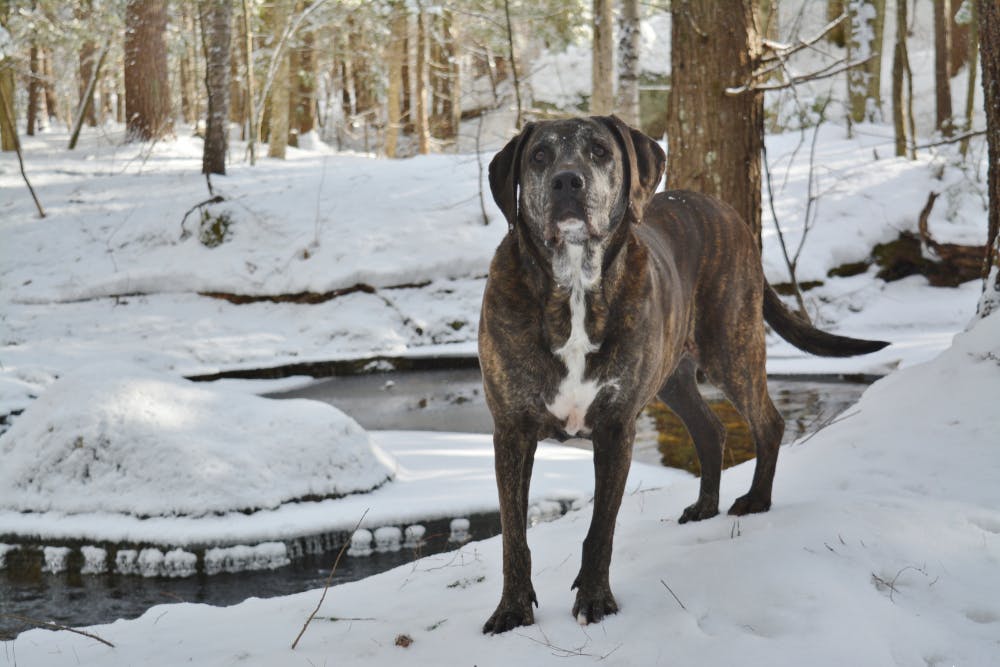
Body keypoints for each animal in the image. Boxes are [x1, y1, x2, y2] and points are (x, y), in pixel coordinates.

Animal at [478, 117, 892, 636]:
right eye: (538, 156)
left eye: (599, 152)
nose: (567, 182)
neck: (573, 286)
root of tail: (728, 211)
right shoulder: (512, 431)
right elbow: (514, 534)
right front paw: (512, 610)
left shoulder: (616, 428)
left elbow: (600, 528)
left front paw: (595, 599)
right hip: (673, 377)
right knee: (710, 429)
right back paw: (705, 506)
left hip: (730, 346)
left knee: (768, 422)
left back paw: (756, 499)